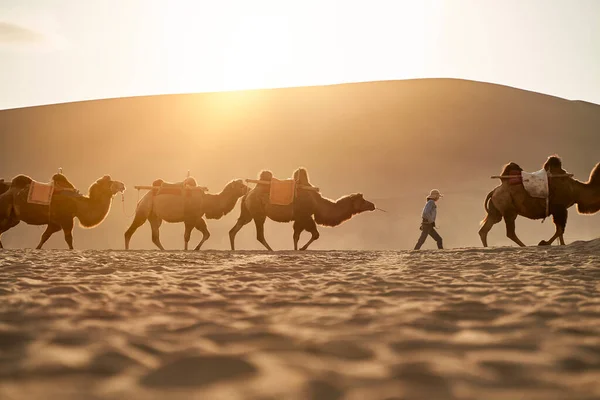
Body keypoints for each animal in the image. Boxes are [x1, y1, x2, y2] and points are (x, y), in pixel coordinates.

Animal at [230, 168, 376, 250]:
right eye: (362, 200)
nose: (373, 205)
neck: (318, 203)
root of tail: (248, 194)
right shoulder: (304, 216)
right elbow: (315, 235)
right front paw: (301, 249)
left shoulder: (300, 219)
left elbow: (296, 236)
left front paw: (296, 249)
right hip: (258, 212)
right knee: (259, 235)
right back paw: (271, 250)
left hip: (247, 212)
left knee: (235, 229)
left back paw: (233, 250)